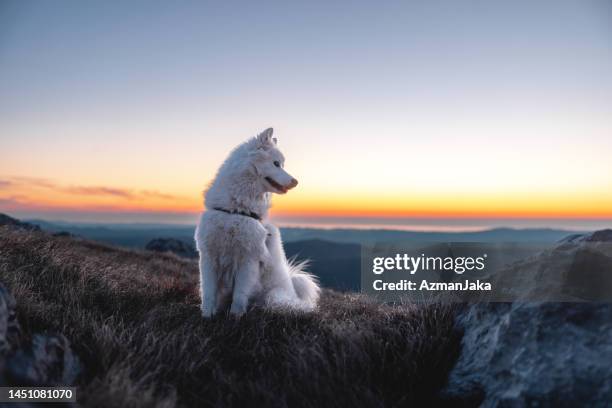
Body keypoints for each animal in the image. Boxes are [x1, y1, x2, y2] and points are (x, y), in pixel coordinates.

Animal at [195, 129, 320, 318]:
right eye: (276, 164)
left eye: (282, 164)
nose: (295, 181)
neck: (236, 210)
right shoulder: (209, 257)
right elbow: (208, 292)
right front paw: (207, 316)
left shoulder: (248, 260)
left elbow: (239, 295)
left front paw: (235, 317)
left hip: (274, 296)